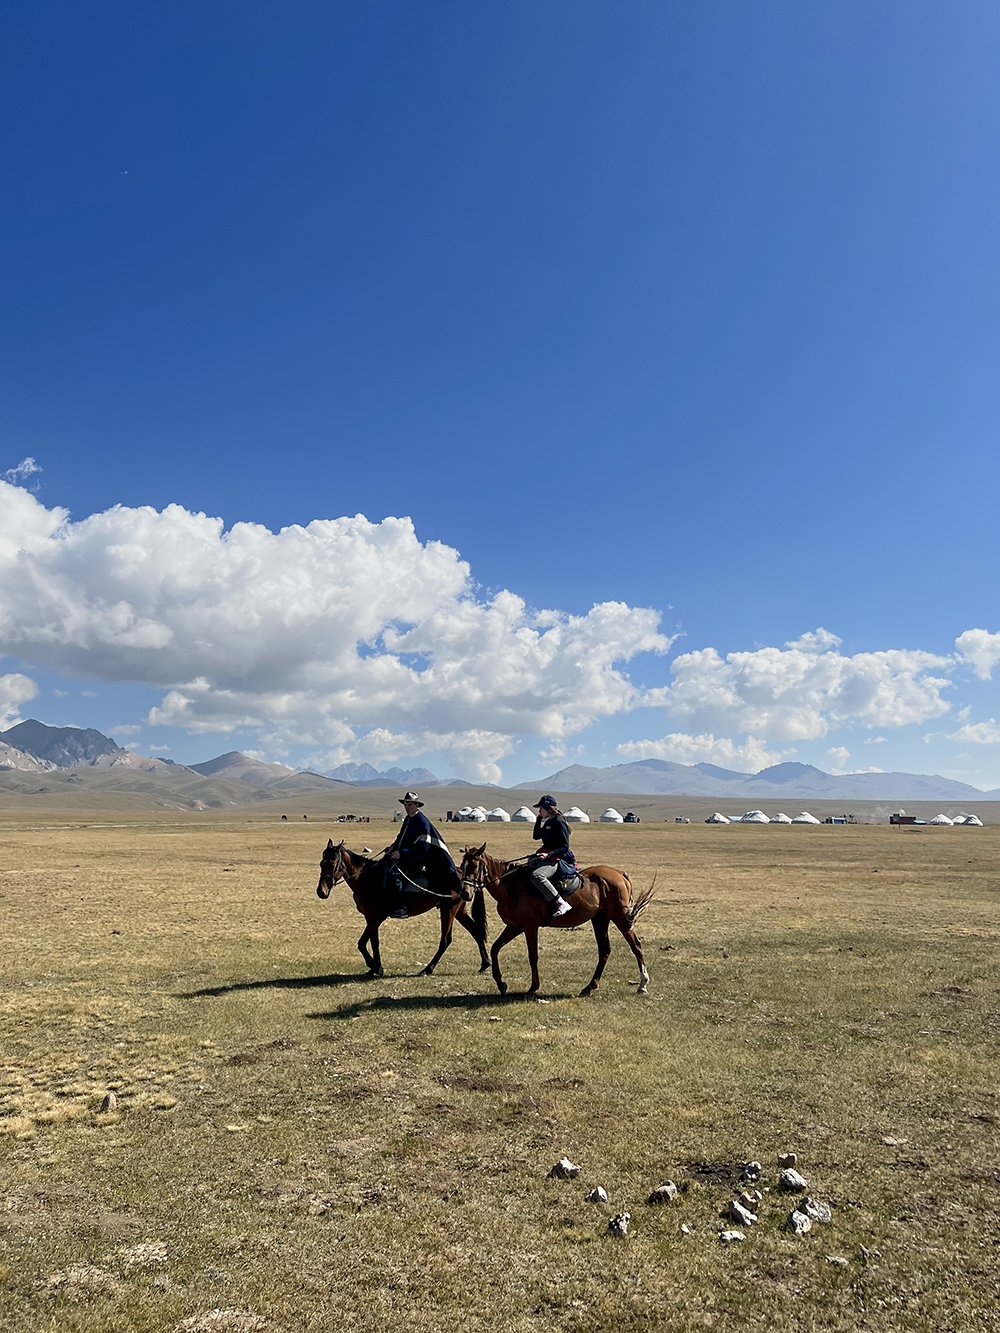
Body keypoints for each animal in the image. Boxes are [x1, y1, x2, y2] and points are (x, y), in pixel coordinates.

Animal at [318, 842, 490, 981]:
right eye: (321, 863)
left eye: (333, 863)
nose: (321, 891)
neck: (367, 878)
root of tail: (464, 876)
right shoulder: (371, 917)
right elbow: (374, 942)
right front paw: (377, 967)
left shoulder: (377, 917)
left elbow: (361, 943)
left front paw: (374, 966)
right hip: (459, 910)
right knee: (476, 931)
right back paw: (485, 964)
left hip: (448, 909)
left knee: (445, 940)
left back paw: (427, 969)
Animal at [458, 847, 653, 997]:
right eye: (462, 866)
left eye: (474, 865)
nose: (465, 893)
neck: (512, 887)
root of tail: (620, 874)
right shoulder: (514, 927)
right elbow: (495, 948)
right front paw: (501, 983)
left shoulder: (530, 927)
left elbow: (533, 956)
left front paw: (533, 988)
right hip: (600, 919)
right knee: (604, 950)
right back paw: (589, 987)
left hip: (619, 918)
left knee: (636, 945)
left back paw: (642, 984)